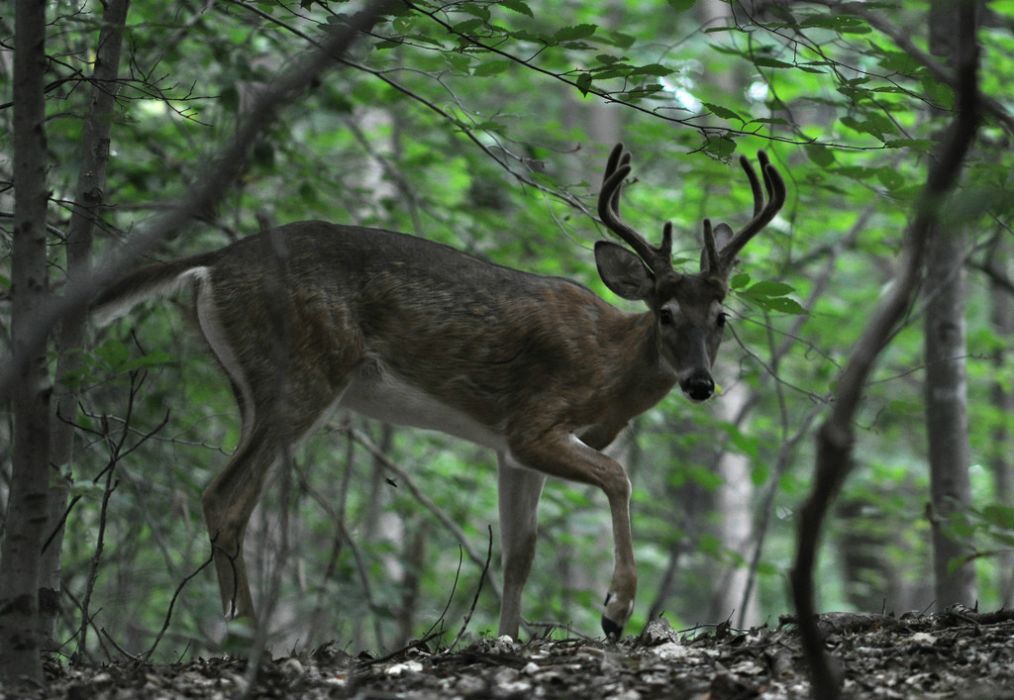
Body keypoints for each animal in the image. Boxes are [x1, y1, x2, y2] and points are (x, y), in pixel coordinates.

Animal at [93, 142, 782, 637]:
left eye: (722, 317)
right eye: (665, 314)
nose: (700, 384)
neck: (607, 368)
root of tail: (212, 262)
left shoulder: (511, 451)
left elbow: (519, 551)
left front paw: (505, 639)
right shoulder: (533, 422)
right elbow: (619, 477)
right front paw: (615, 610)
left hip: (248, 383)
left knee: (229, 495)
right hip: (305, 376)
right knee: (226, 497)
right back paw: (247, 639)